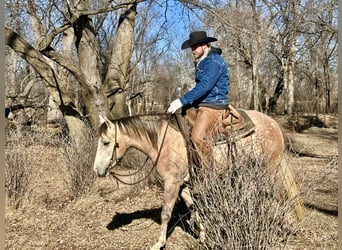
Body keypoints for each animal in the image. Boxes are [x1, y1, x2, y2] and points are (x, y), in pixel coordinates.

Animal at [92, 112, 304, 250]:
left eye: (106, 142)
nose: (96, 170)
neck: (163, 140)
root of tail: (274, 123)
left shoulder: (172, 183)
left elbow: (165, 214)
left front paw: (159, 243)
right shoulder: (184, 185)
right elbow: (195, 209)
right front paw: (203, 237)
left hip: (270, 170)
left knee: (282, 199)